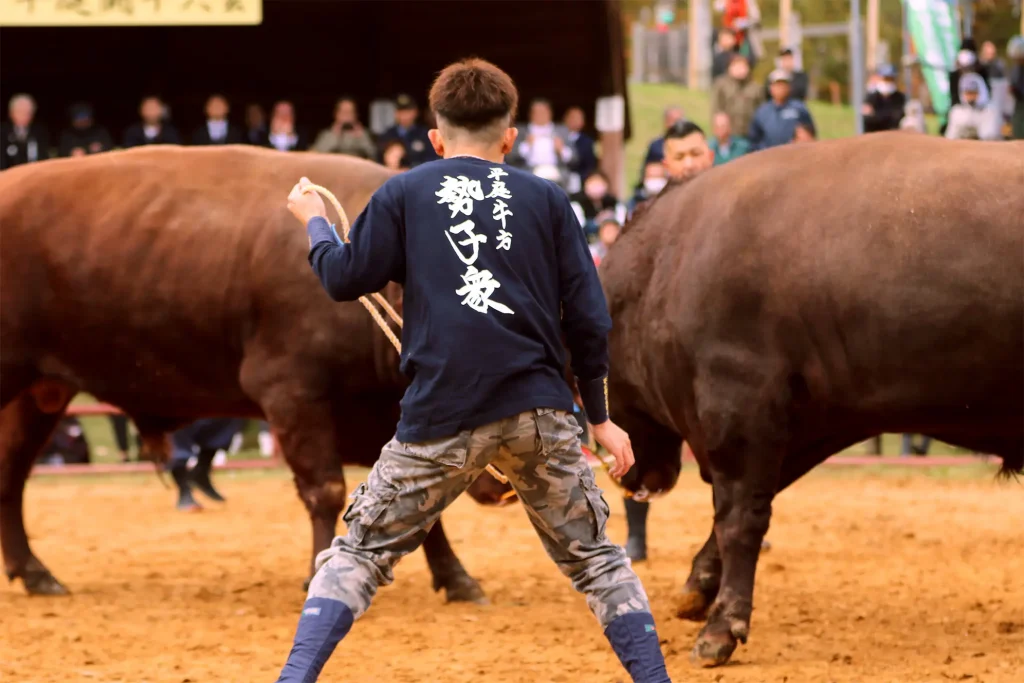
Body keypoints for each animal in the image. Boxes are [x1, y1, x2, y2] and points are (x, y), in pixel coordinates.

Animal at [0, 143, 507, 598]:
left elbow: (423, 508)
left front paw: (458, 579)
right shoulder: (294, 396)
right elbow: (325, 490)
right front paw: (316, 573)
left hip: (39, 395)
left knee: (11, 474)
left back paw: (37, 575)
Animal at [598, 133, 1024, 667]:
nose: (630, 475)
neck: (668, 264)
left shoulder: (740, 407)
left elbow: (739, 519)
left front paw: (721, 628)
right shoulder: (803, 419)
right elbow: (738, 511)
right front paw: (698, 589)